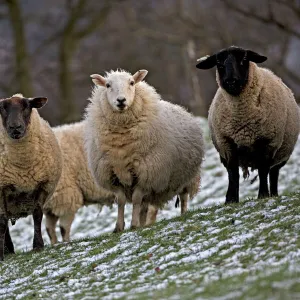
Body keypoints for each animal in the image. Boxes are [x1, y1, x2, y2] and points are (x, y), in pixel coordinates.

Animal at [83, 68, 203, 232]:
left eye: (132, 83)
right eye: (107, 85)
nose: (121, 100)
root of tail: (182, 109)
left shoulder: (146, 173)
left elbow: (135, 199)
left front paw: (133, 225)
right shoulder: (114, 175)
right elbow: (121, 201)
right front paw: (119, 227)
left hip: (187, 177)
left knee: (183, 197)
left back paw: (183, 214)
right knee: (144, 207)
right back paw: (142, 223)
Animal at [196, 45, 300, 204]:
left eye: (244, 58)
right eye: (218, 62)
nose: (230, 81)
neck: (241, 116)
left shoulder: (267, 142)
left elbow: (263, 170)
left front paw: (263, 194)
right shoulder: (227, 144)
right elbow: (233, 174)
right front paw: (231, 200)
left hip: (281, 153)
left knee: (273, 173)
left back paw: (273, 194)